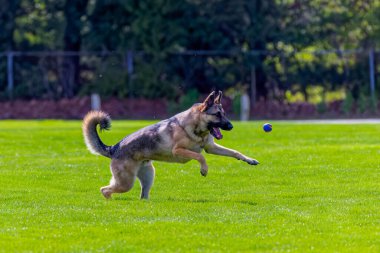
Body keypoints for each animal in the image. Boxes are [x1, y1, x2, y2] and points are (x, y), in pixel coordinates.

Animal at [83, 91, 258, 200]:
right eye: (217, 114)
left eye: (224, 114)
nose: (231, 126)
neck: (196, 128)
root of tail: (114, 148)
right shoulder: (179, 150)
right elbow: (199, 156)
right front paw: (204, 169)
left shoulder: (211, 148)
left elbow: (235, 152)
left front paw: (250, 160)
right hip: (126, 182)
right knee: (105, 190)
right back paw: (110, 201)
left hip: (148, 176)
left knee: (143, 195)